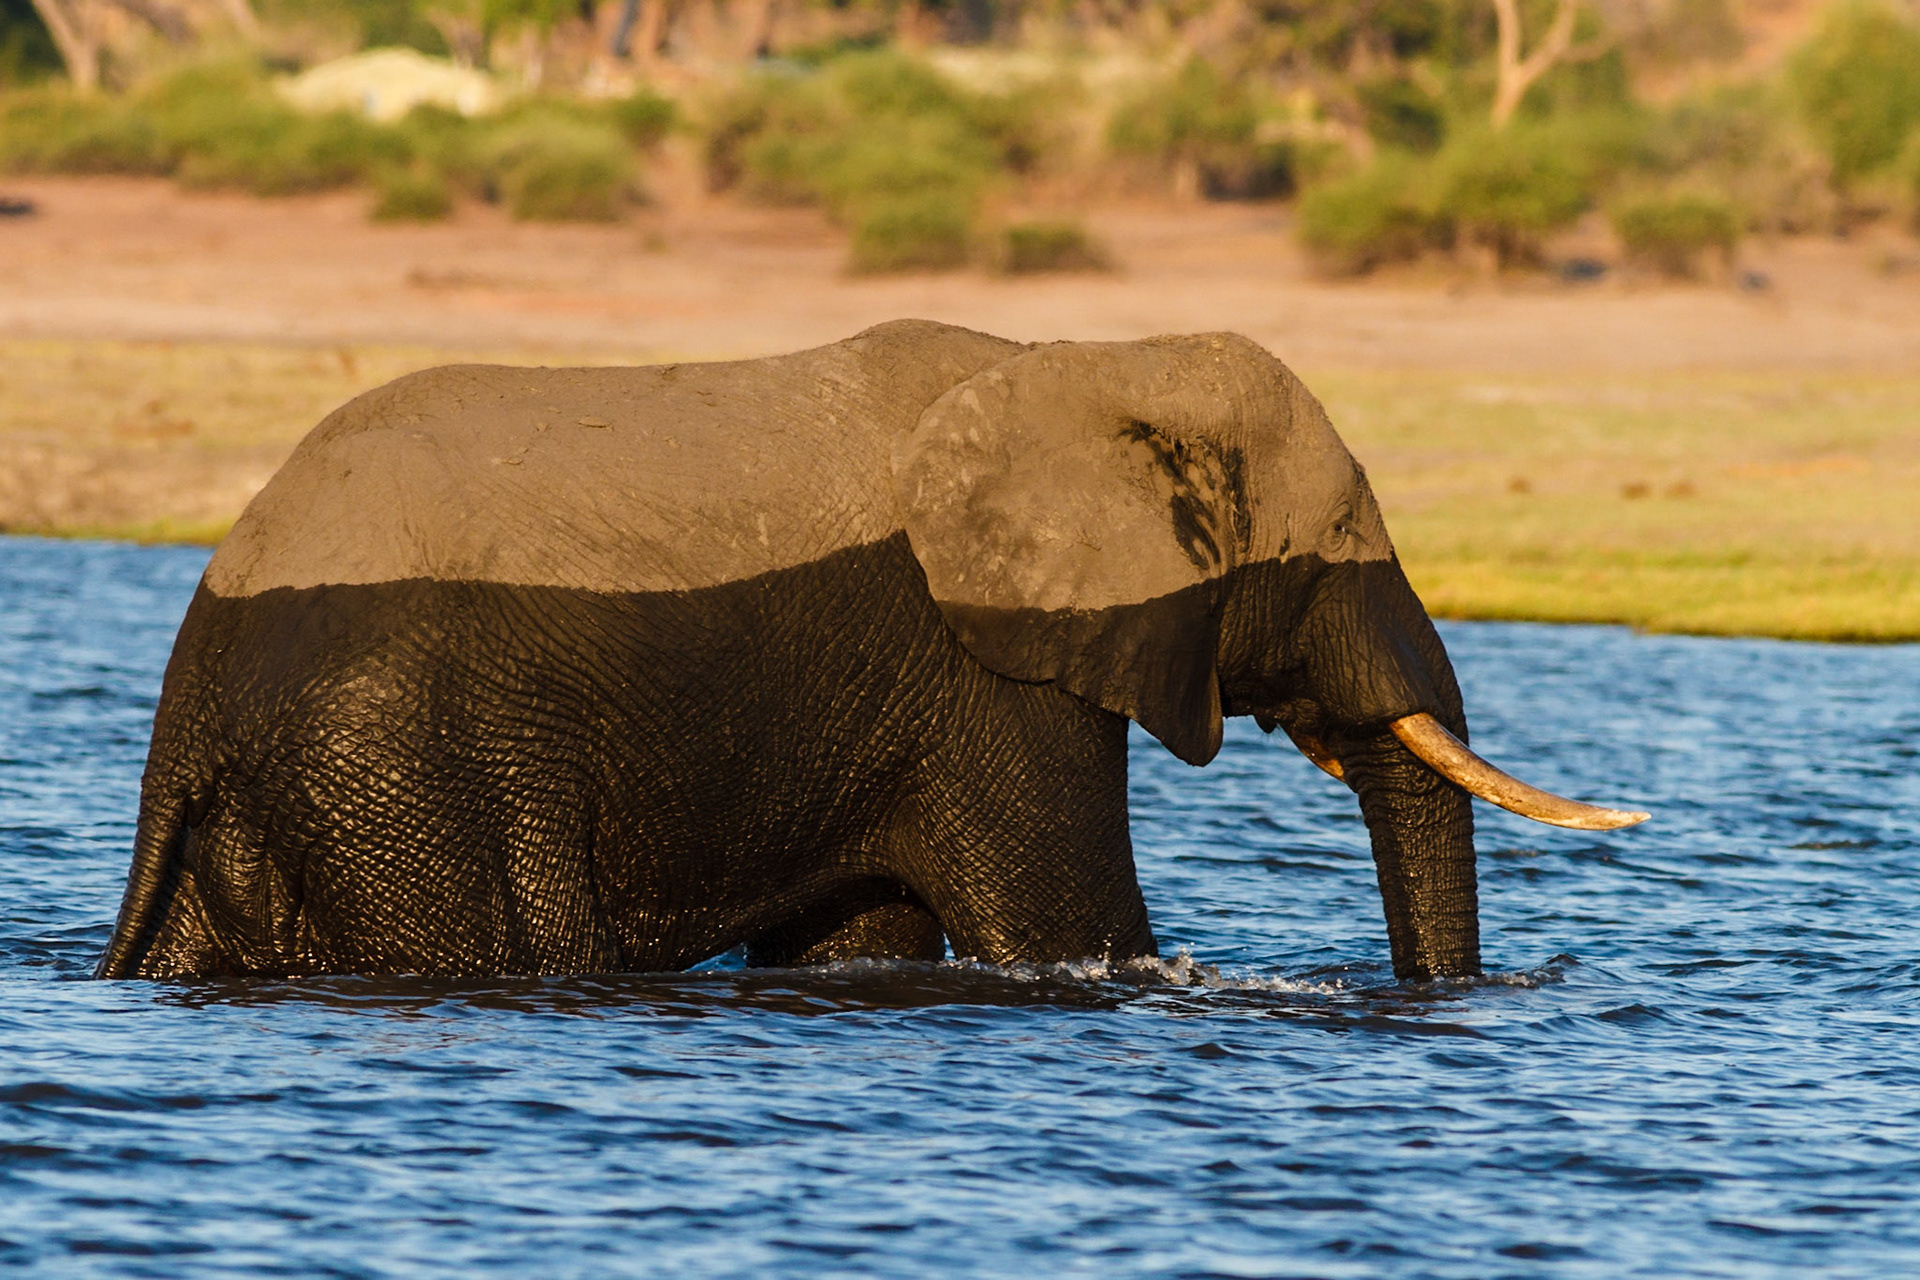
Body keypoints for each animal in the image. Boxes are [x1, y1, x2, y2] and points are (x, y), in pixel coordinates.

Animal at [97, 319, 1645, 984]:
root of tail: (193, 683)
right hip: (393, 748)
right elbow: (1069, 924)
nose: (1442, 1004)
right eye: (1333, 555)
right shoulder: (986, 673)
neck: (1087, 361)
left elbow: (866, 933)